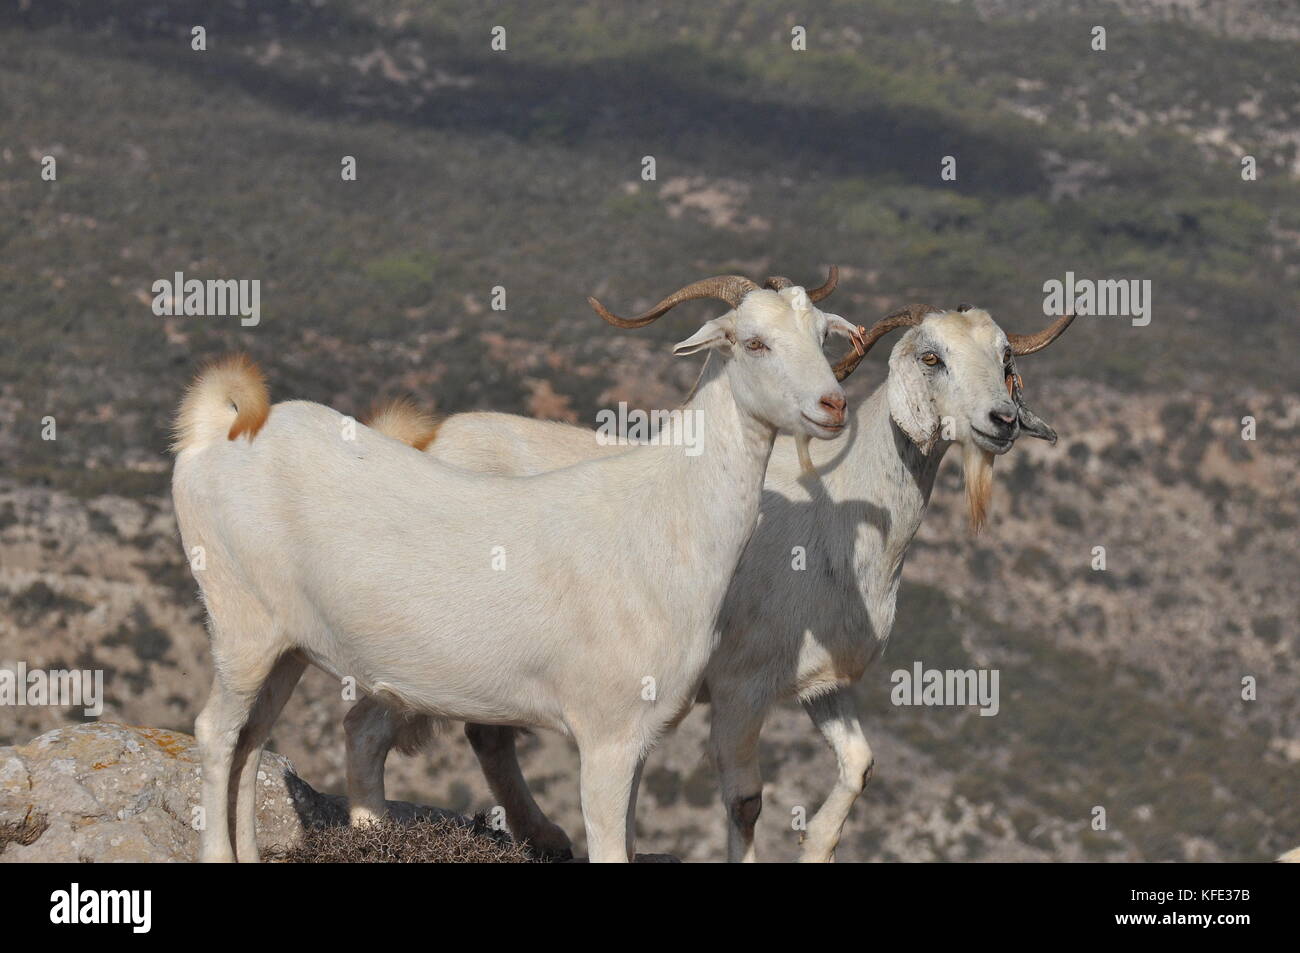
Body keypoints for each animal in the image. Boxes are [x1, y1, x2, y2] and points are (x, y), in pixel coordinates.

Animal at [171, 273, 860, 862]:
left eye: (822, 335)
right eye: (755, 342)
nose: (833, 406)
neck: (662, 519)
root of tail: (220, 432)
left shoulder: (637, 741)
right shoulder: (605, 735)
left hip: (285, 648)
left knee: (252, 741)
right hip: (240, 626)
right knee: (216, 732)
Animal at [348, 293, 1072, 861]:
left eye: (1004, 358)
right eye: (932, 358)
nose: (1002, 421)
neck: (837, 523)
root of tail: (427, 438)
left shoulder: (820, 684)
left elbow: (859, 766)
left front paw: (816, 847)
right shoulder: (740, 685)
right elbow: (745, 800)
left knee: (487, 732)